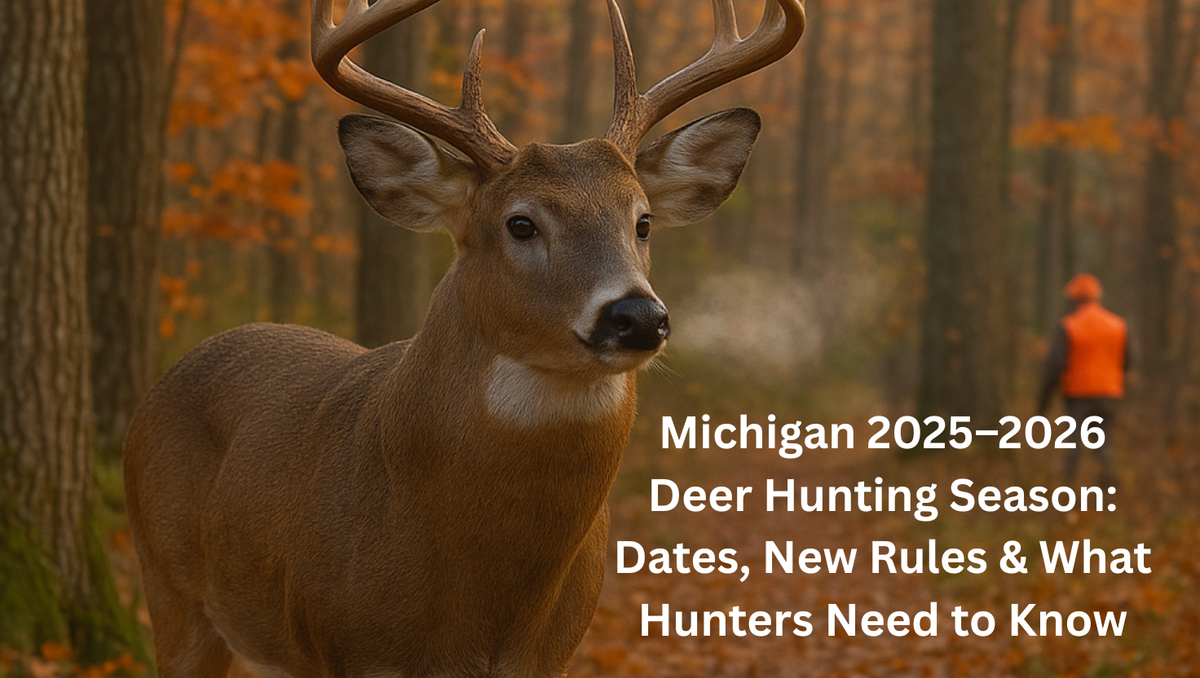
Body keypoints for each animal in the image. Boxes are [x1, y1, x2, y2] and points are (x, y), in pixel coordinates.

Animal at [123, 1, 803, 676]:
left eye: (643, 221)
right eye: (521, 223)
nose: (637, 316)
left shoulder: (554, 654)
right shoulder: (349, 644)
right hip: (169, 587)